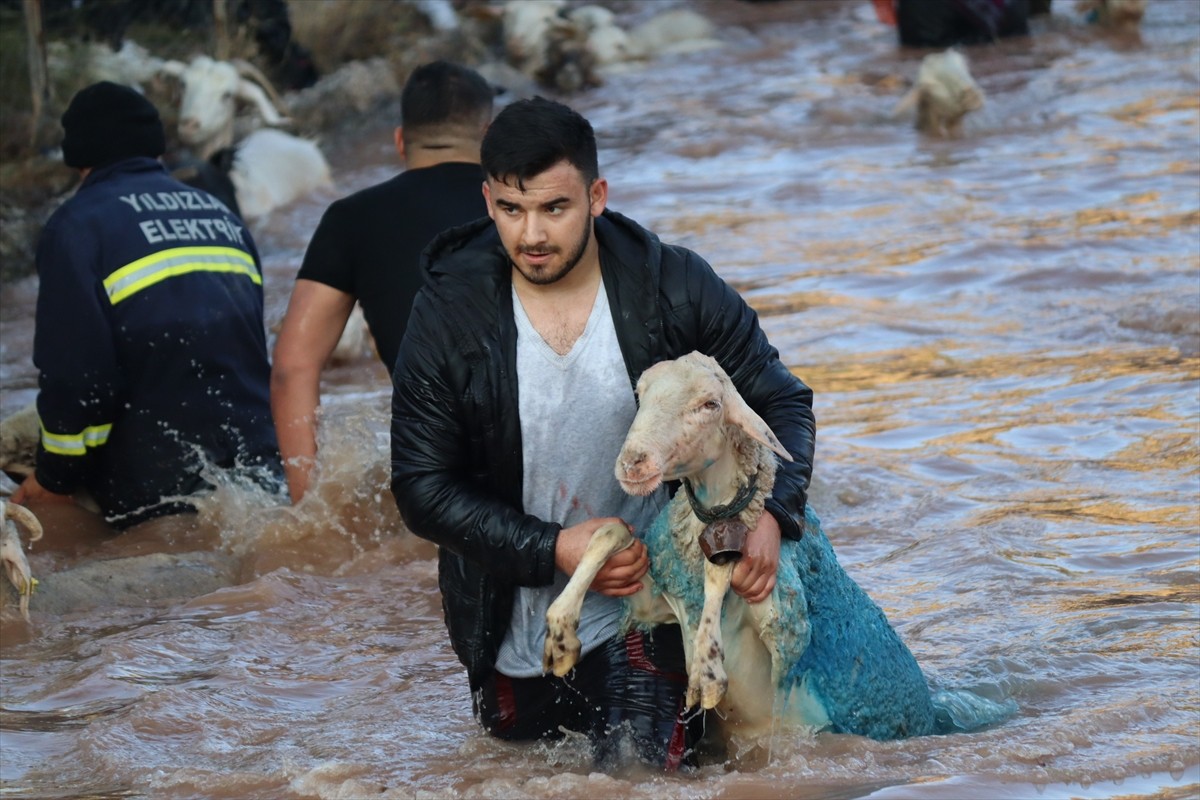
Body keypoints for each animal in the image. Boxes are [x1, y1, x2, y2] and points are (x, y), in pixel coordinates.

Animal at [544, 352, 1012, 743]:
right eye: (640, 393)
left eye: (709, 405)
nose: (633, 463)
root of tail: (935, 713)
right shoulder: (658, 604)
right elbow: (611, 533)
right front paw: (560, 639)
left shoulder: (783, 625)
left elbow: (723, 568)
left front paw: (707, 672)